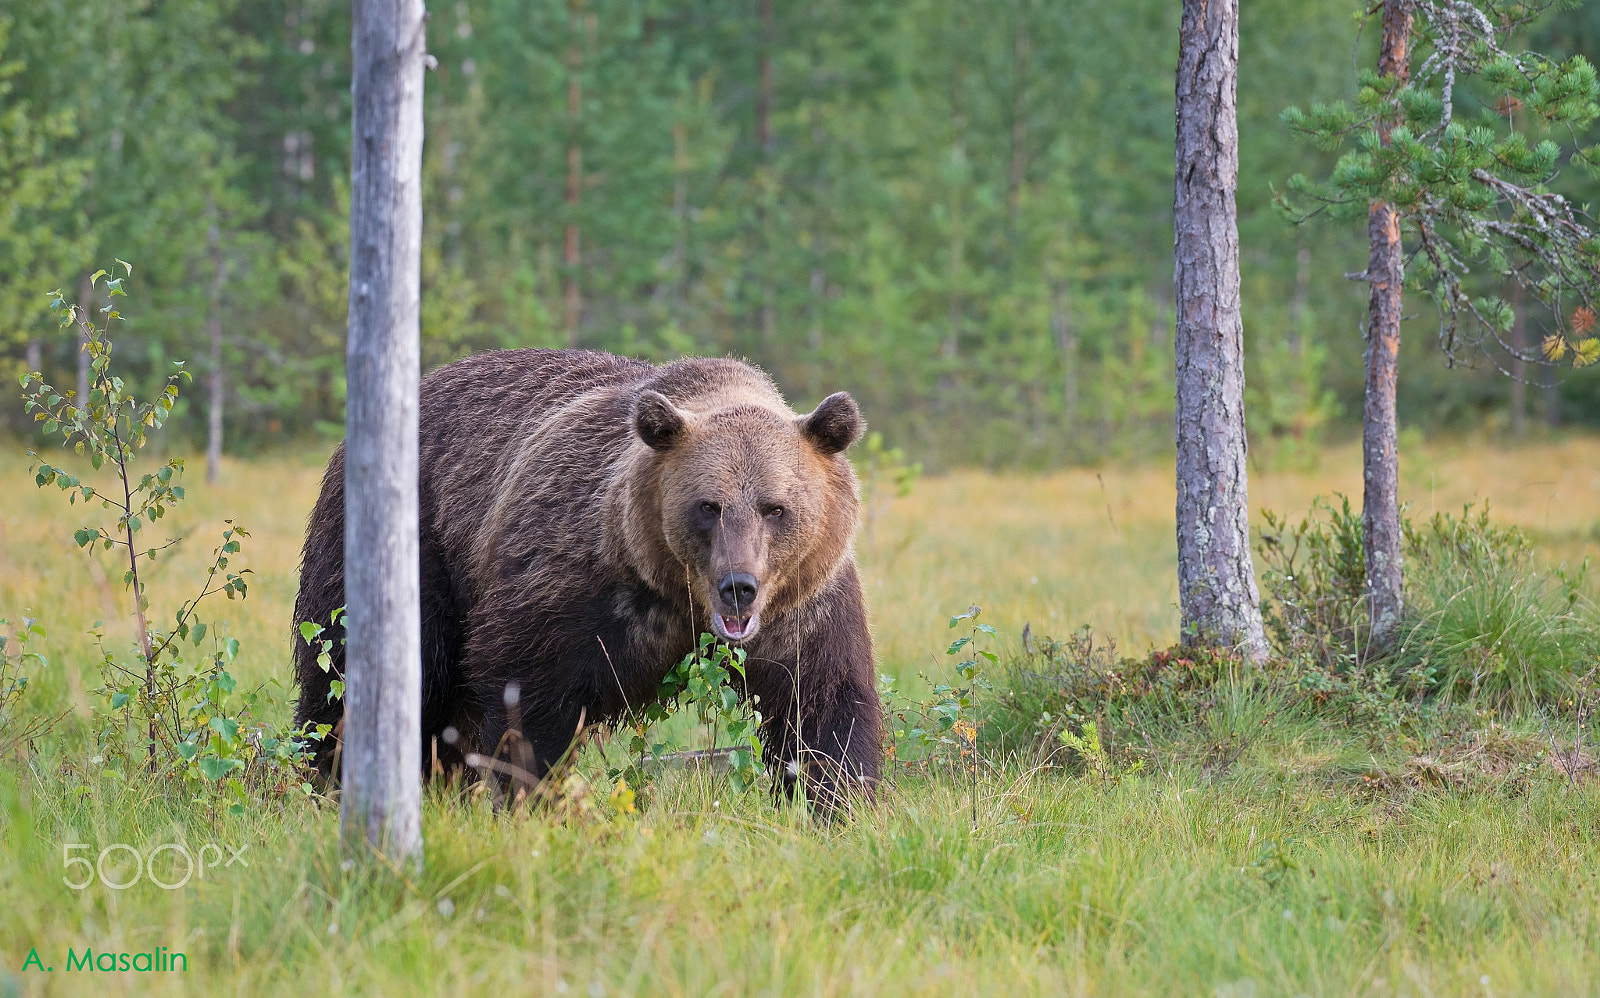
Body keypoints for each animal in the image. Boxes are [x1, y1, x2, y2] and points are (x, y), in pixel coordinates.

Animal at [292, 348, 883, 808]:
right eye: (707, 506)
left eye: (775, 508)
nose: (738, 586)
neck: (675, 595)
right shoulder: (572, 584)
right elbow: (530, 701)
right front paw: (529, 798)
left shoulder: (804, 608)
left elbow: (822, 709)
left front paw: (833, 803)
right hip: (410, 546)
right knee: (347, 674)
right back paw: (329, 779)